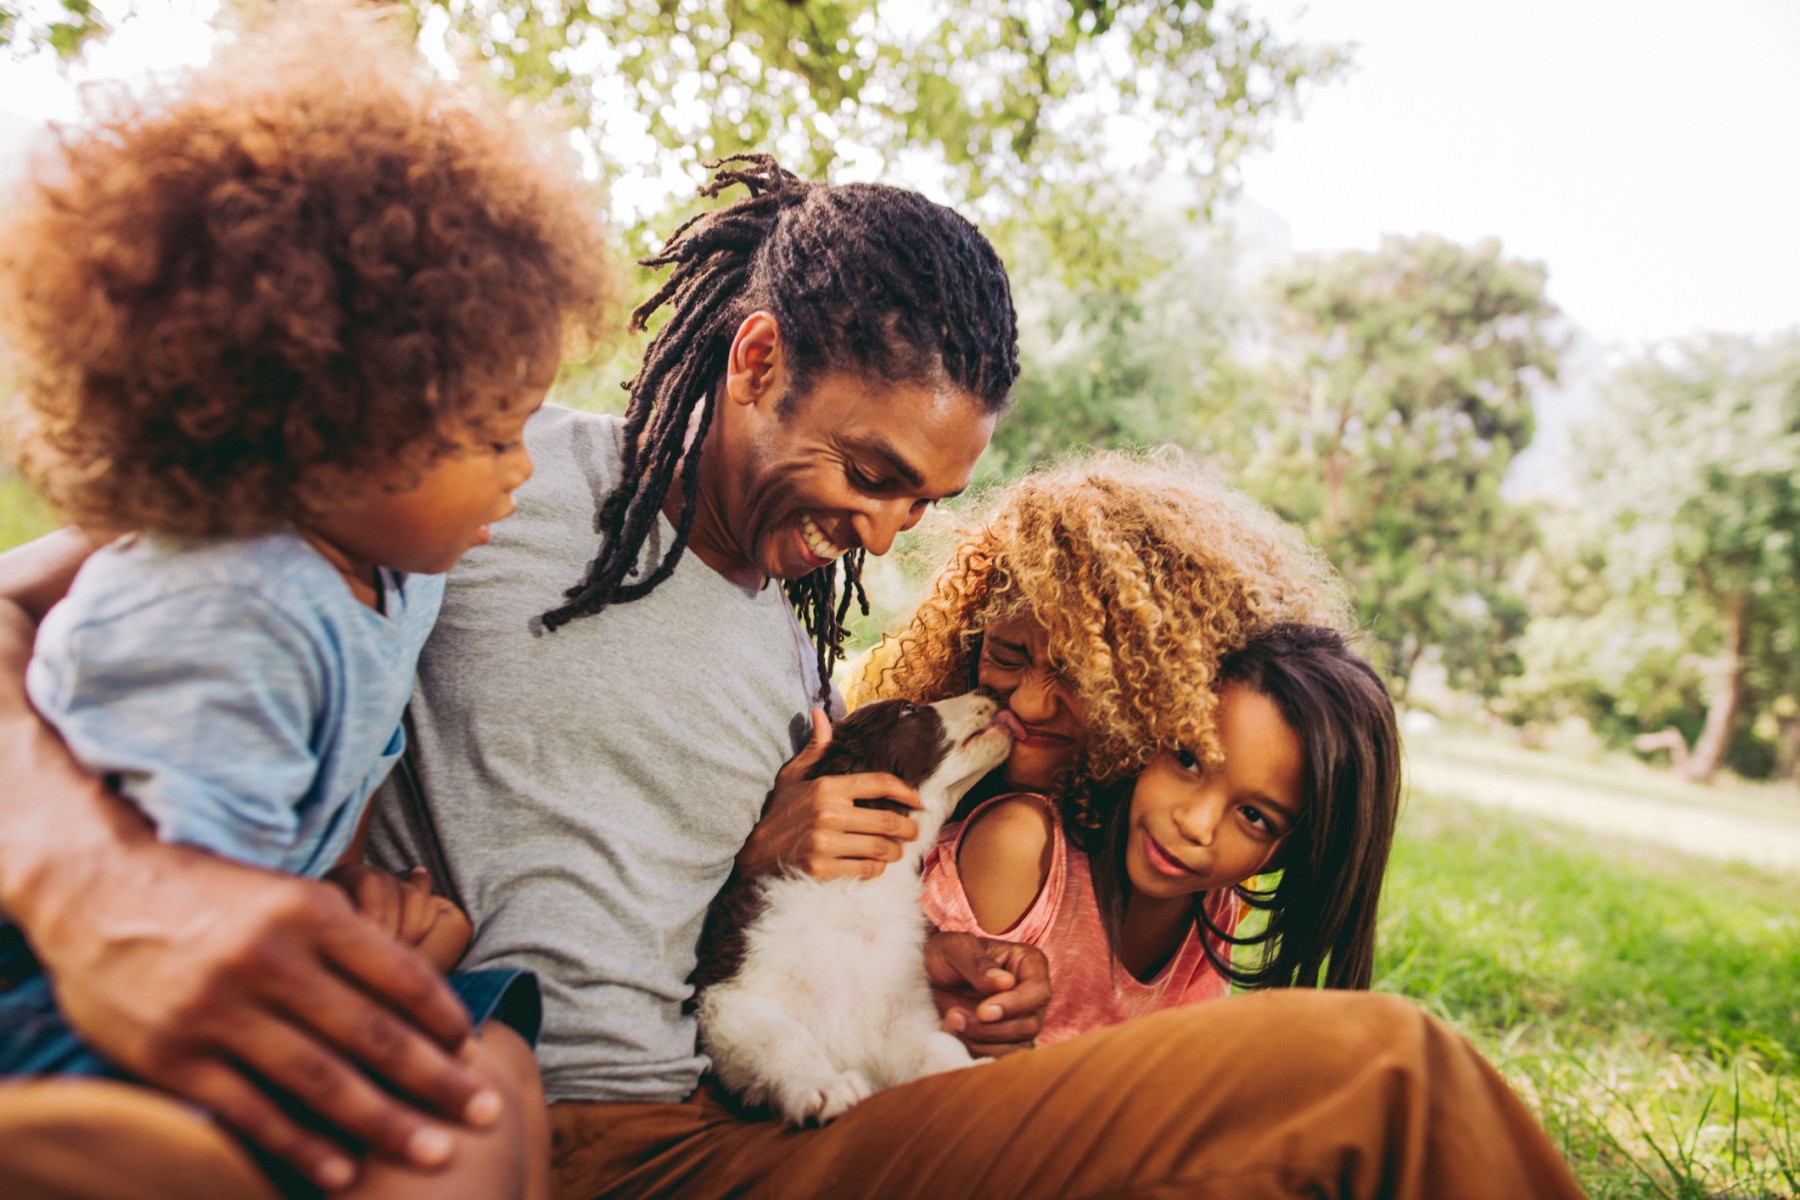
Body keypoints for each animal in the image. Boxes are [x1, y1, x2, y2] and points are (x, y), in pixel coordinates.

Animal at [694, 694, 1022, 1129]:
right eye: (907, 711)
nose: (994, 694)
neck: (854, 892)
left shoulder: (899, 1014)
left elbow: (936, 1046)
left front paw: (968, 1070)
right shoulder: (730, 996)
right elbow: (781, 1038)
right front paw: (823, 1089)